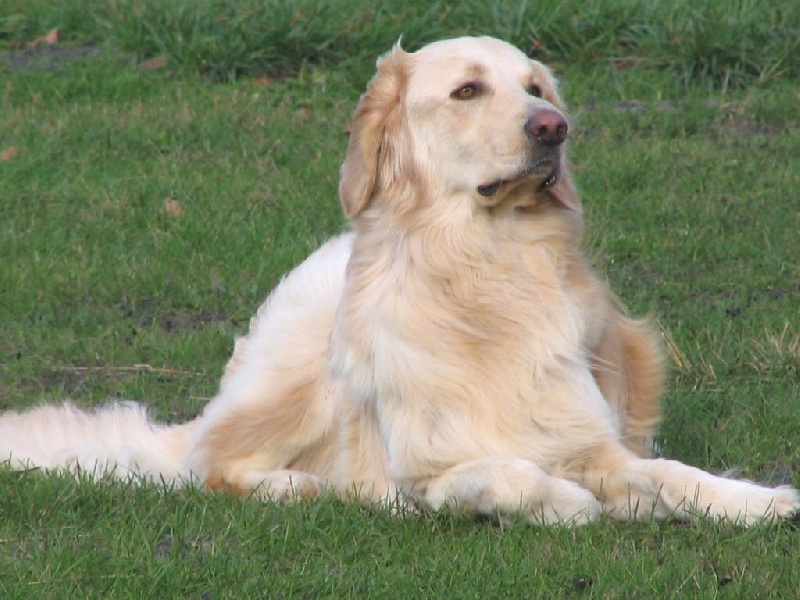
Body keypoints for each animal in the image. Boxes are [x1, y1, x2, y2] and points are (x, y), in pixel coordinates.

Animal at [1, 37, 797, 525]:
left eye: (536, 87)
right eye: (468, 90)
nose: (553, 126)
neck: (485, 271)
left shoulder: (596, 443)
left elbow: (672, 473)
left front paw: (756, 500)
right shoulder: (420, 479)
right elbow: (505, 474)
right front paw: (566, 503)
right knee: (210, 463)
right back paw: (296, 484)